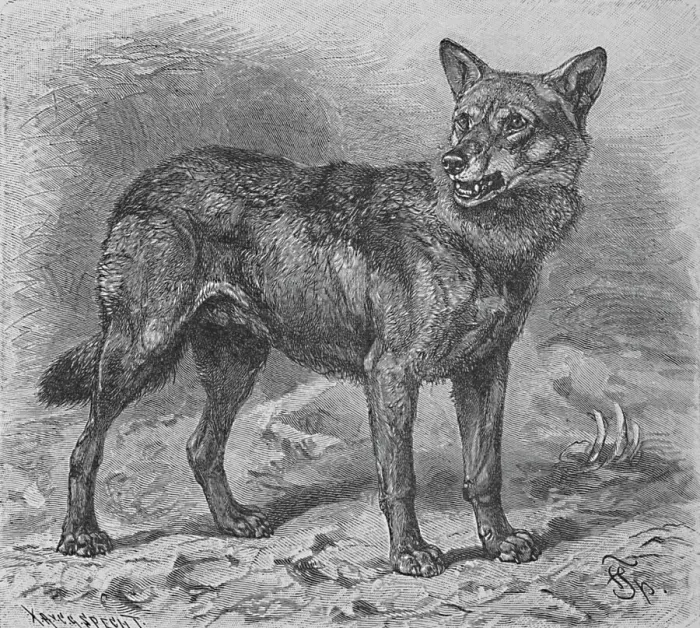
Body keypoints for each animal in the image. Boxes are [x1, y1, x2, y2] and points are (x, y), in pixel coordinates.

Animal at [38, 39, 606, 577]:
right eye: (462, 121)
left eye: (515, 124)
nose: (454, 162)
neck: (476, 234)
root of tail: (143, 184)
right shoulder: (392, 374)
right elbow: (400, 478)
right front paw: (409, 552)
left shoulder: (486, 372)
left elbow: (485, 472)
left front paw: (498, 540)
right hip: (140, 348)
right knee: (85, 448)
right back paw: (80, 535)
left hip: (235, 364)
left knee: (201, 448)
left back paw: (232, 520)